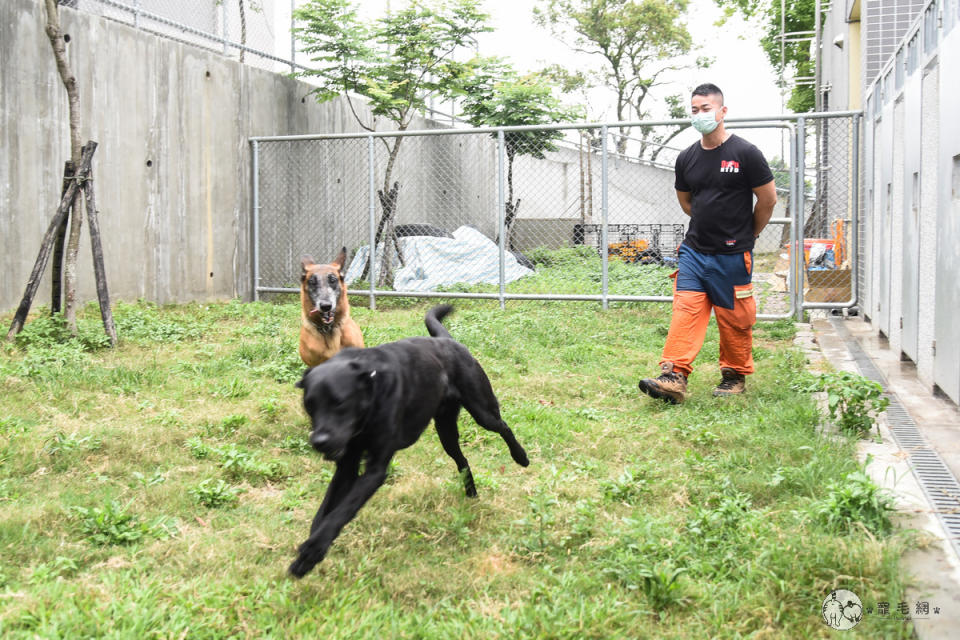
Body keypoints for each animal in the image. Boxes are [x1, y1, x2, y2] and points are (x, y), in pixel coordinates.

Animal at [290, 302, 532, 576]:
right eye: (310, 406)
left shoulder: (375, 470)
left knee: (503, 427)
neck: (370, 394)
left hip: (482, 411)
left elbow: (343, 510)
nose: (319, 441)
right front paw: (312, 546)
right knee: (463, 460)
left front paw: (313, 550)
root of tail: (448, 341)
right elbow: (325, 511)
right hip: (446, 432)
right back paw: (471, 493)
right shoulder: (346, 468)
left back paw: (521, 457)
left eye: (340, 402)